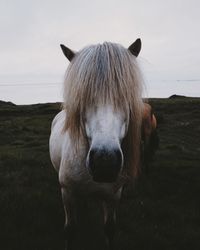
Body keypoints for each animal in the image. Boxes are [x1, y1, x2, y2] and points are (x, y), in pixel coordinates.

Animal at [49, 38, 145, 249]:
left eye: (125, 95)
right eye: (81, 97)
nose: (105, 162)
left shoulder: (113, 196)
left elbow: (109, 228)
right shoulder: (67, 193)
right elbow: (70, 230)